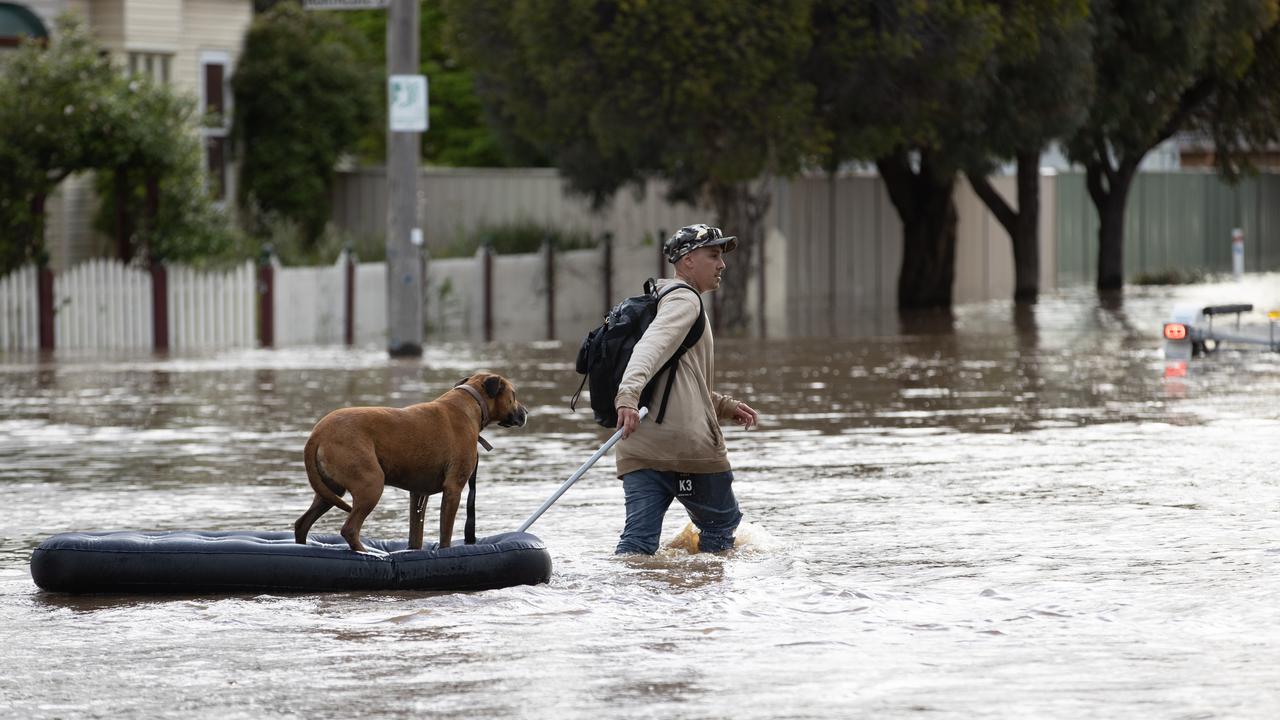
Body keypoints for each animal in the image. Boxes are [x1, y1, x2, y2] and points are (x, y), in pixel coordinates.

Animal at [293, 368, 527, 548]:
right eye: (514, 394)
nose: (525, 412)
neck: (471, 403)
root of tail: (318, 433)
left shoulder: (418, 495)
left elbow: (416, 536)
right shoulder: (453, 489)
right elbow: (445, 535)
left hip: (328, 491)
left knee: (302, 524)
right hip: (370, 484)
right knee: (349, 529)